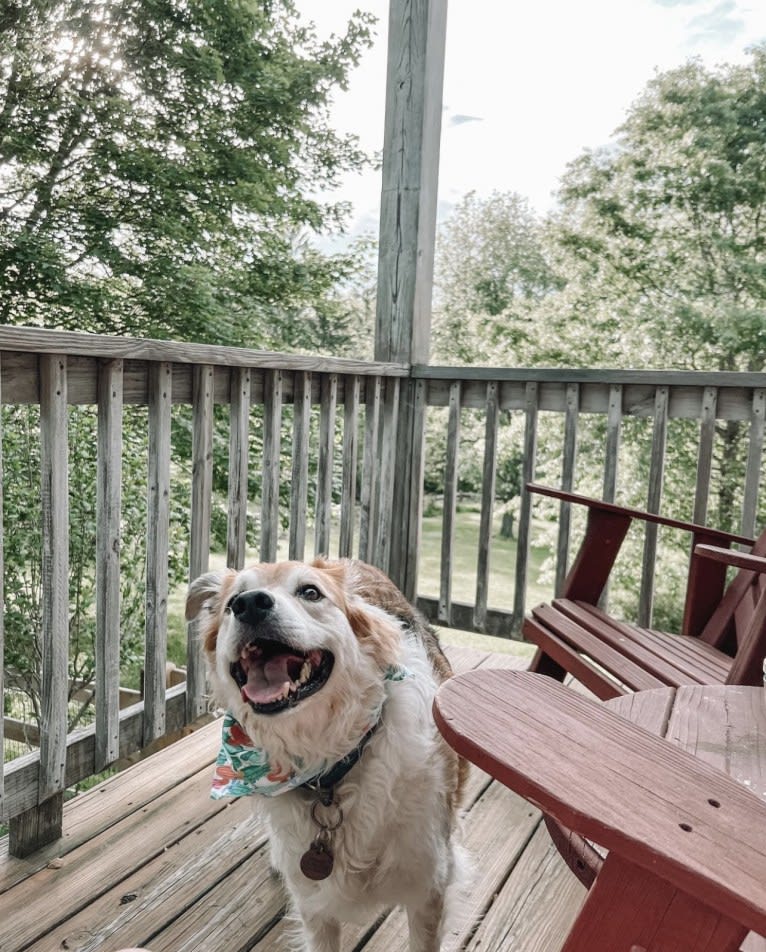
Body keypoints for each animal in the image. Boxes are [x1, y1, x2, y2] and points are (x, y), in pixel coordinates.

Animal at [189, 556, 472, 952]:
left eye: (311, 592)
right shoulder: (314, 903)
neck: (329, 767)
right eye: (232, 603)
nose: (249, 604)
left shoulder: (428, 885)